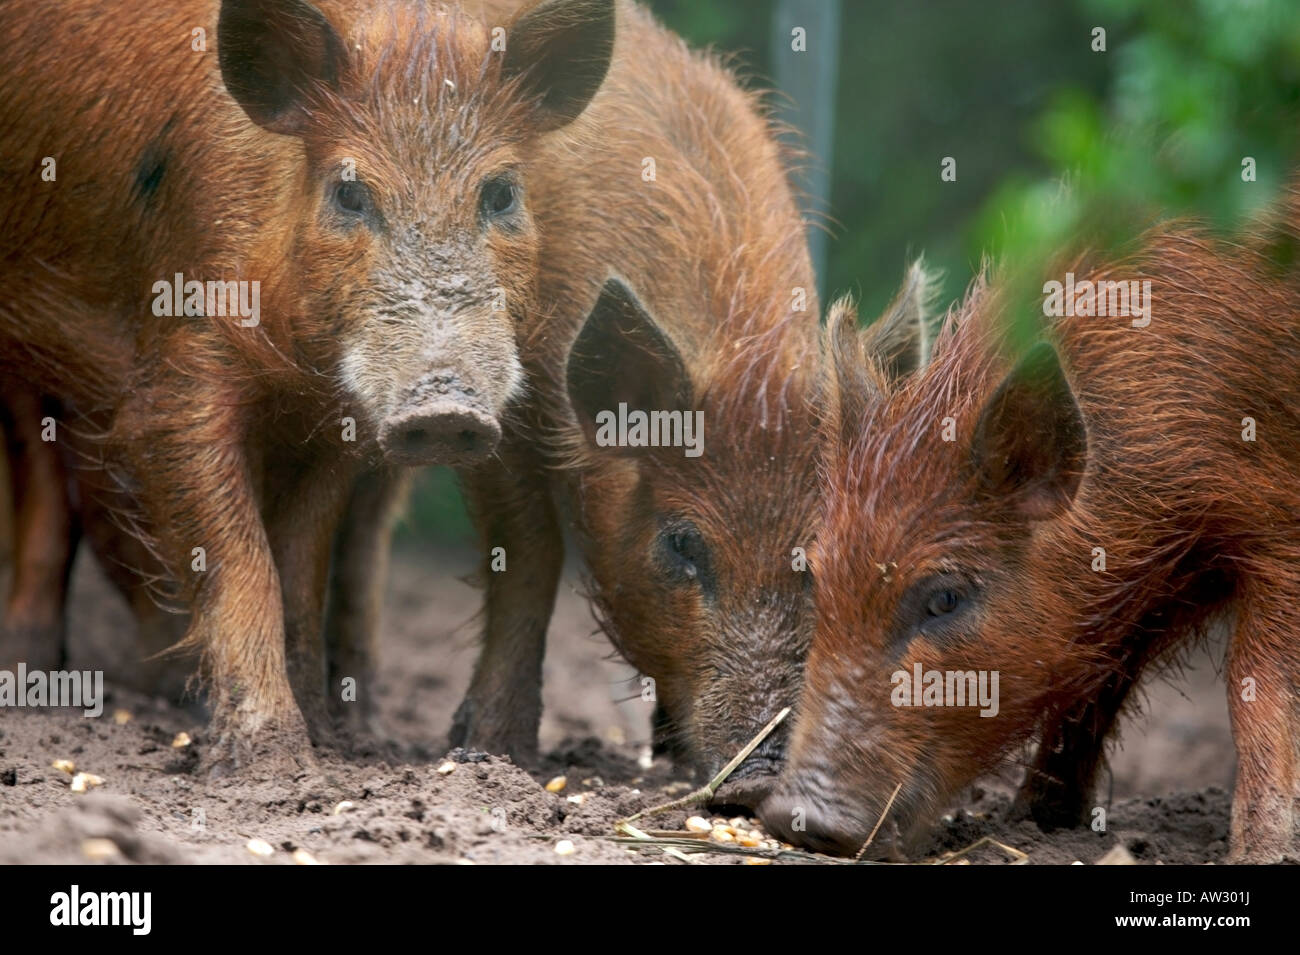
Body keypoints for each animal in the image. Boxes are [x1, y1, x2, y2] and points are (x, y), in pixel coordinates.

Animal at [0, 0, 614, 771]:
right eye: (349, 193)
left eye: (501, 193)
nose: (446, 406)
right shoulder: (178, 377)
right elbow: (241, 557)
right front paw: (267, 757)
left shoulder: (339, 425)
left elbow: (300, 563)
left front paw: (324, 742)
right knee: (41, 477)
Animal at [760, 222, 1300, 862]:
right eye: (818, 581)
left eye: (946, 597)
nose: (795, 817)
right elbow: (1094, 682)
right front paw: (1037, 819)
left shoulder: (1279, 532)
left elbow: (1256, 686)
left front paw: (1260, 853)